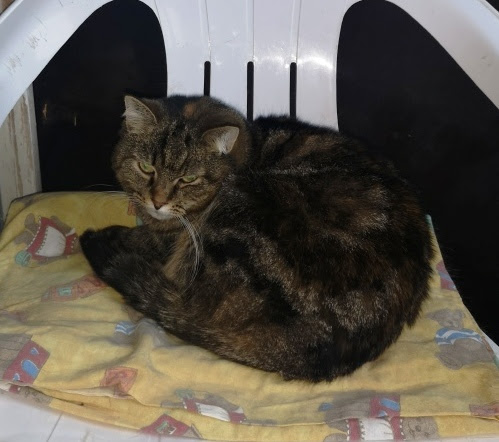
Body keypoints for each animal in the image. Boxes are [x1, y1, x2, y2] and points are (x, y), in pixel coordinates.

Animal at [80, 95, 434, 382]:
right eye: (145, 167)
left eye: (188, 179)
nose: (157, 202)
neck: (251, 146)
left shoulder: (177, 237)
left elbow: (145, 237)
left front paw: (115, 234)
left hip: (237, 206)